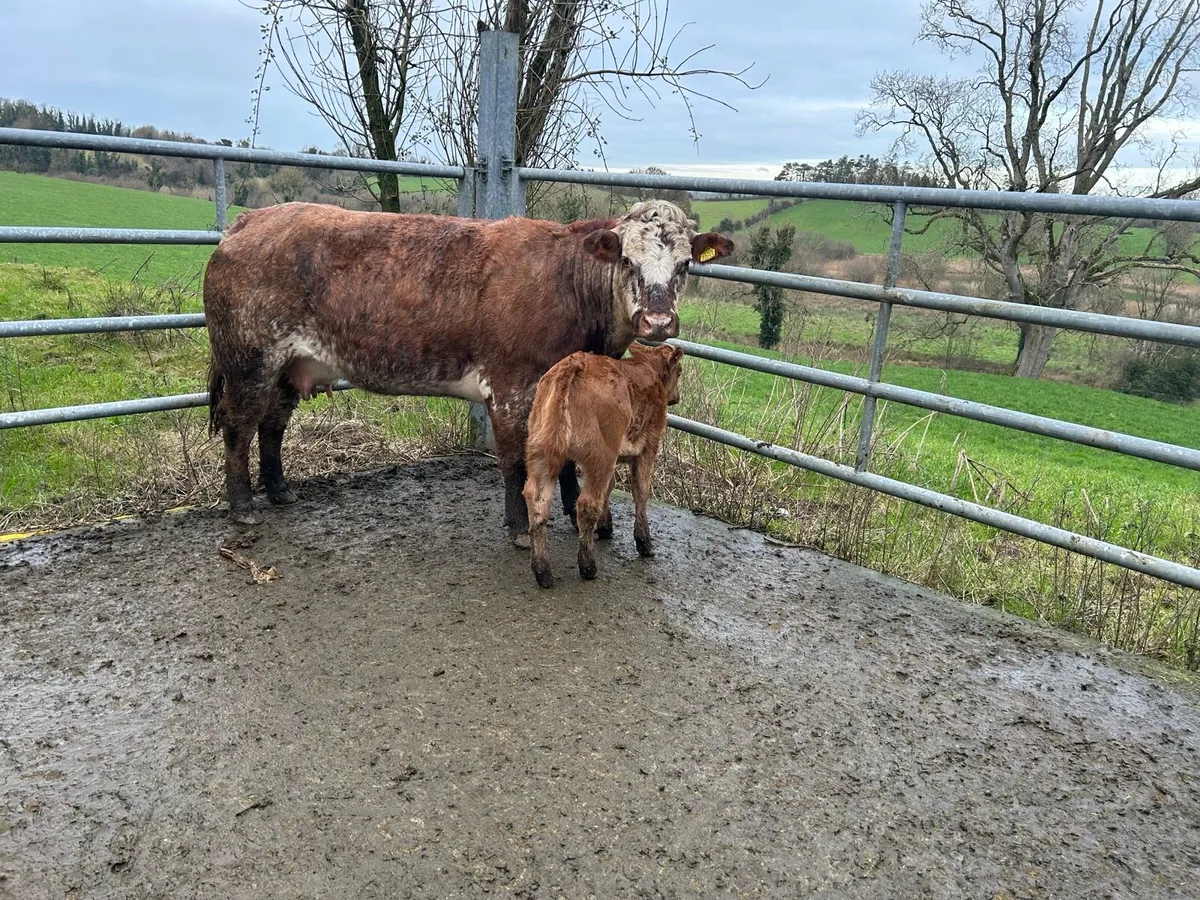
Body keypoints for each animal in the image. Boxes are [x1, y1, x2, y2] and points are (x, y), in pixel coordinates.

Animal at [202, 199, 733, 543]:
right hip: (250, 358)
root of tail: (250, 220)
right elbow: (515, 459)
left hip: (287, 365)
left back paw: (279, 491)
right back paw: (243, 507)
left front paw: (570, 508)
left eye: (686, 264)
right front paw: (520, 527)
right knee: (239, 425)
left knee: (272, 425)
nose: (658, 321)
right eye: (626, 259)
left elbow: (566, 458)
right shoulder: (511, 385)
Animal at [522, 342, 684, 588]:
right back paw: (587, 566)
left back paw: (543, 571)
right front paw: (644, 542)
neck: (647, 369)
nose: (677, 396)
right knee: (587, 503)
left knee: (538, 500)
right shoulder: (648, 446)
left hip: (541, 451)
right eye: (680, 372)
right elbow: (641, 490)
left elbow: (610, 486)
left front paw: (606, 526)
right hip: (601, 455)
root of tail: (575, 363)